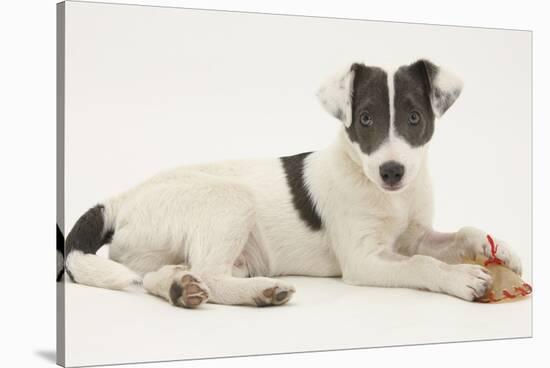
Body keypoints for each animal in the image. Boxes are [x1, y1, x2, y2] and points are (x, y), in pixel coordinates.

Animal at [62, 59, 524, 308]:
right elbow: (423, 264)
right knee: (210, 274)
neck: (386, 195)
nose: (392, 172)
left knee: (165, 275)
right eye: (366, 119)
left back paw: (180, 288)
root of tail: (122, 199)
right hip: (230, 200)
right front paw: (460, 278)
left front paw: (497, 247)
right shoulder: (364, 260)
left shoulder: (415, 235)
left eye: (414, 118)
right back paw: (258, 292)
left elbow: (457, 235)